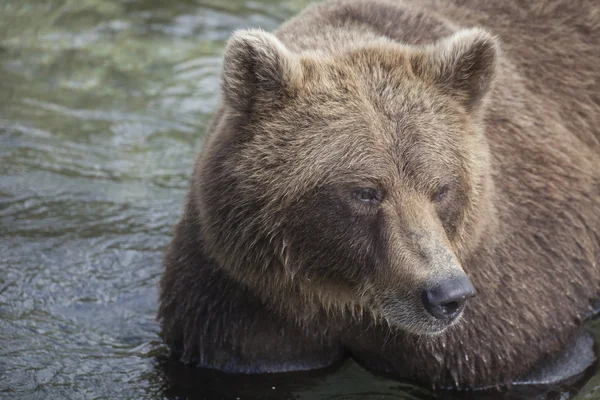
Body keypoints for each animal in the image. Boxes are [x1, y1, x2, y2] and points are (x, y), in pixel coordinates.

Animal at [158, 0, 600, 390]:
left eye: (441, 188)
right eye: (367, 192)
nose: (446, 294)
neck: (346, 298)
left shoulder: (502, 309)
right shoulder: (238, 303)